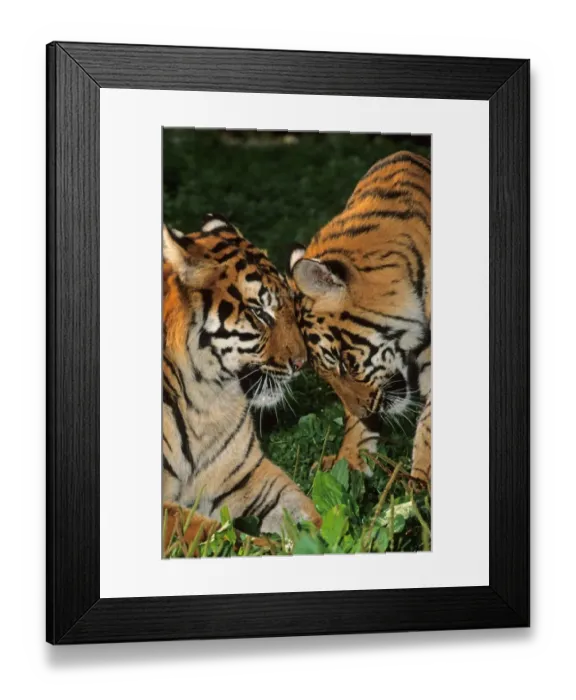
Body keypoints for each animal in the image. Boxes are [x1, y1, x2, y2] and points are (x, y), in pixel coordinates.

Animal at [162, 214, 321, 543]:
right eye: (261, 313)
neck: (204, 401)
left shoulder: (245, 476)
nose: (302, 362)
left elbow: (305, 509)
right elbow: (221, 537)